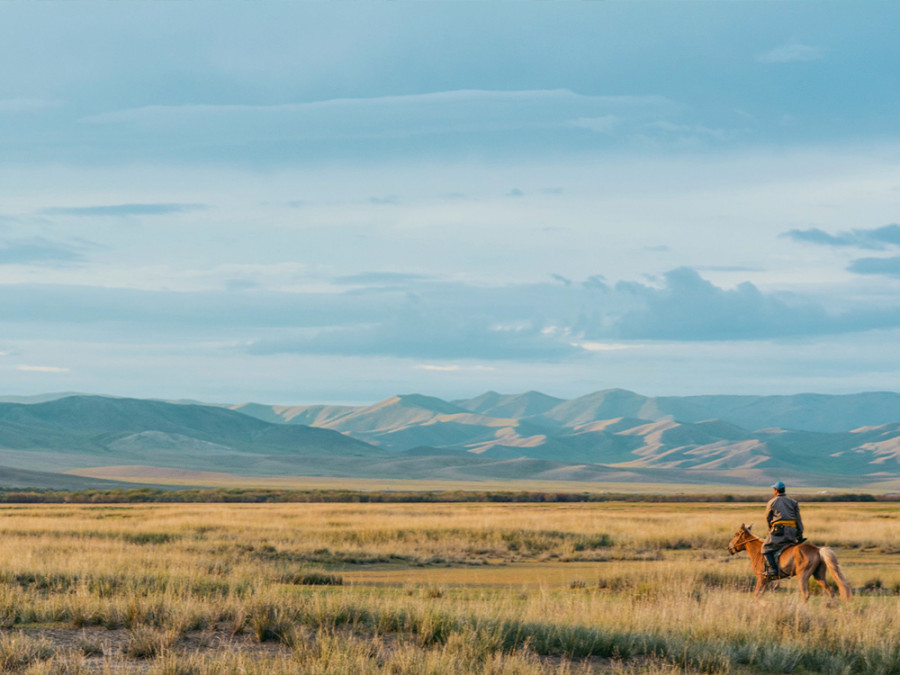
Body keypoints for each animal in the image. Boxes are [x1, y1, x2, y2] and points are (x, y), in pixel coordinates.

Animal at [724, 524, 852, 604]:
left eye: (736, 534)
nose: (729, 547)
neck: (758, 552)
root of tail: (817, 549)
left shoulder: (762, 579)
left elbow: (756, 596)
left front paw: (769, 605)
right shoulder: (767, 580)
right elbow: (758, 596)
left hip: (802, 576)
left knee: (805, 594)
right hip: (819, 576)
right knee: (830, 590)